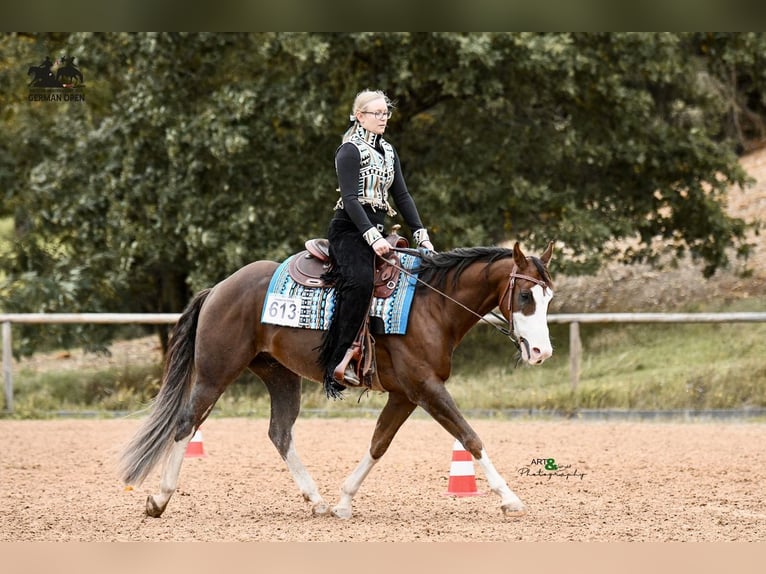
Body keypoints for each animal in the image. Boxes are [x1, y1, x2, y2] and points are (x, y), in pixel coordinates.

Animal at [119, 240, 555, 519]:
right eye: (525, 297)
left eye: (549, 298)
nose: (541, 352)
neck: (432, 304)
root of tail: (218, 289)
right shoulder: (426, 388)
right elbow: (470, 437)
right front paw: (510, 499)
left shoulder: (405, 395)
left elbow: (379, 443)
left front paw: (344, 501)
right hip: (215, 374)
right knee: (185, 424)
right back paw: (159, 500)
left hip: (279, 375)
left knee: (279, 433)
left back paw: (316, 500)